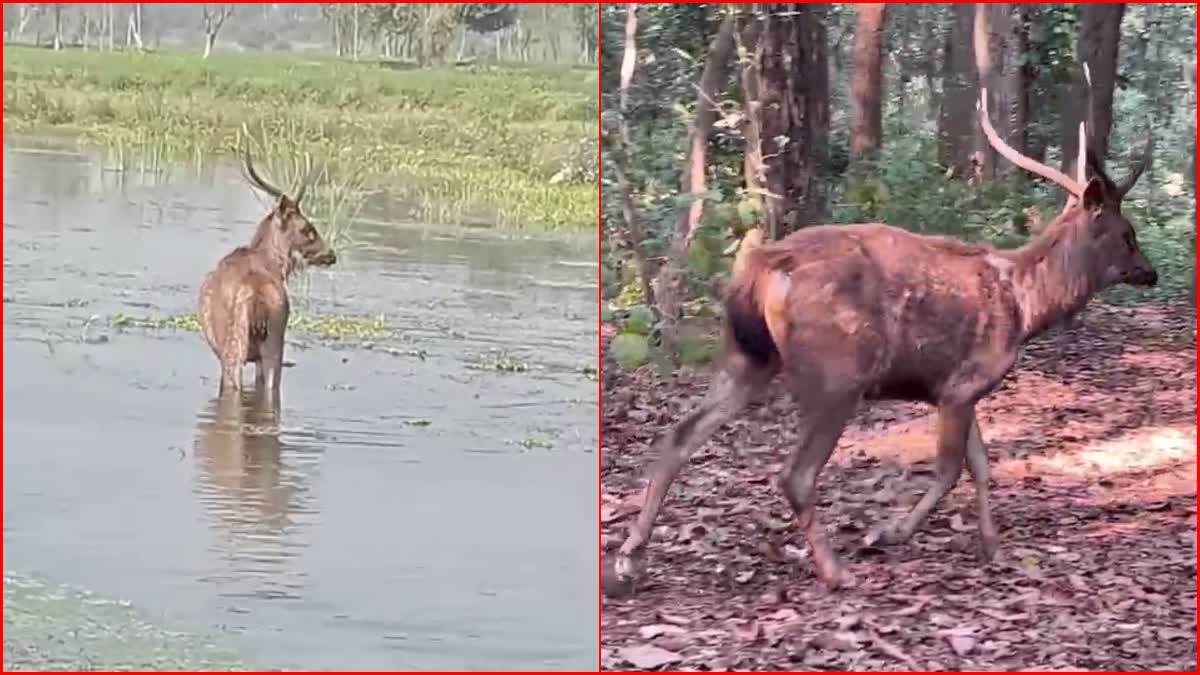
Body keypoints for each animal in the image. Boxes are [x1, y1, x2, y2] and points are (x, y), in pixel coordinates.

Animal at [604, 88, 1156, 593]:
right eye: (1127, 233)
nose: (1150, 272)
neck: (1024, 305)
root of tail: (762, 268)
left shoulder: (956, 388)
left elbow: (980, 464)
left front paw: (993, 546)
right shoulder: (964, 383)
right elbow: (950, 468)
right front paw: (887, 532)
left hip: (747, 357)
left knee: (680, 434)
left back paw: (629, 561)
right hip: (837, 374)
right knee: (796, 473)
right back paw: (835, 571)